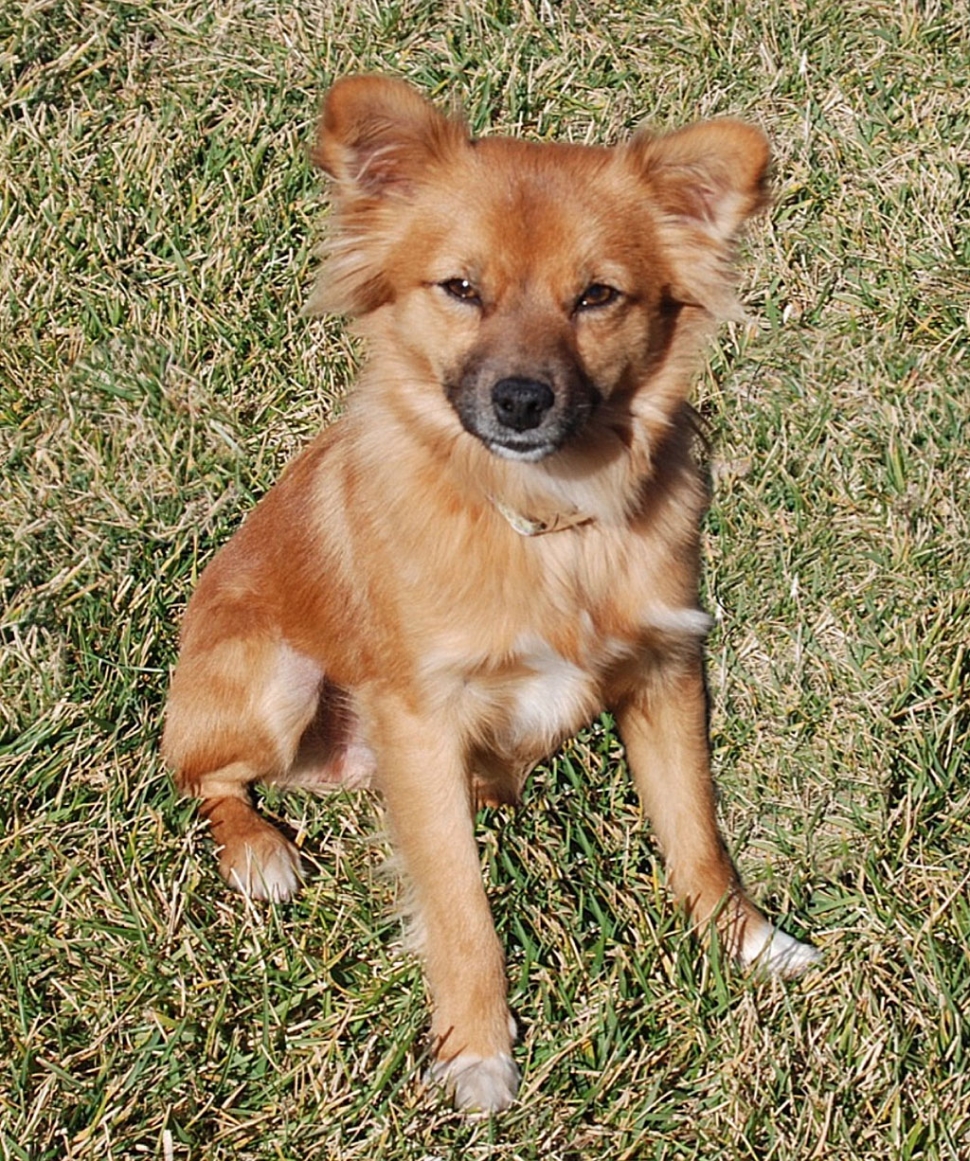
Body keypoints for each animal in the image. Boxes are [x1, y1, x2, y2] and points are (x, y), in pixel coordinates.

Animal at [164, 77, 817, 1109]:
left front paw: (747, 940)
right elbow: (461, 907)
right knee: (200, 776)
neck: (547, 520)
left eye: (597, 296)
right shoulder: (421, 718)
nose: (520, 399)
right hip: (273, 680)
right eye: (460, 289)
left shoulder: (668, 669)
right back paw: (257, 850)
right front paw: (477, 1050)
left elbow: (698, 832)